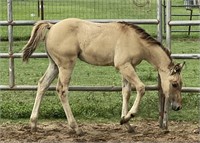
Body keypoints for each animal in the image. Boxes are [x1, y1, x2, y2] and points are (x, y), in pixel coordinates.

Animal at [22, 18, 184, 135]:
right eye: (175, 84)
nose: (177, 107)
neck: (135, 40)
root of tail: (52, 26)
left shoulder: (128, 67)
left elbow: (126, 92)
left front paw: (126, 123)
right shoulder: (123, 66)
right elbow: (141, 88)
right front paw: (129, 116)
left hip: (54, 65)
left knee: (42, 85)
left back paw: (33, 124)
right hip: (66, 65)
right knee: (62, 90)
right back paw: (76, 128)